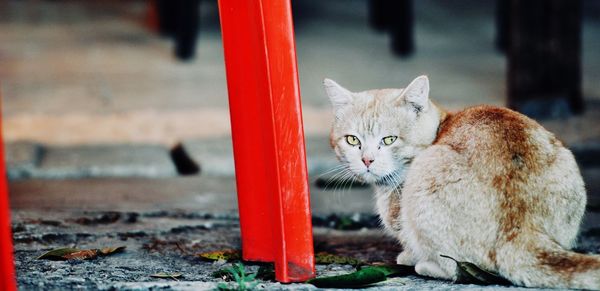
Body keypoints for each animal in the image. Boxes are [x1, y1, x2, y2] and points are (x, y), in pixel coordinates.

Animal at [328, 75, 600, 290]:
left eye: (389, 140)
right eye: (352, 140)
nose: (367, 160)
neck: (441, 125)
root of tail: (522, 227)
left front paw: (408, 256)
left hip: (424, 178)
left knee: (454, 269)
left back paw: (424, 266)